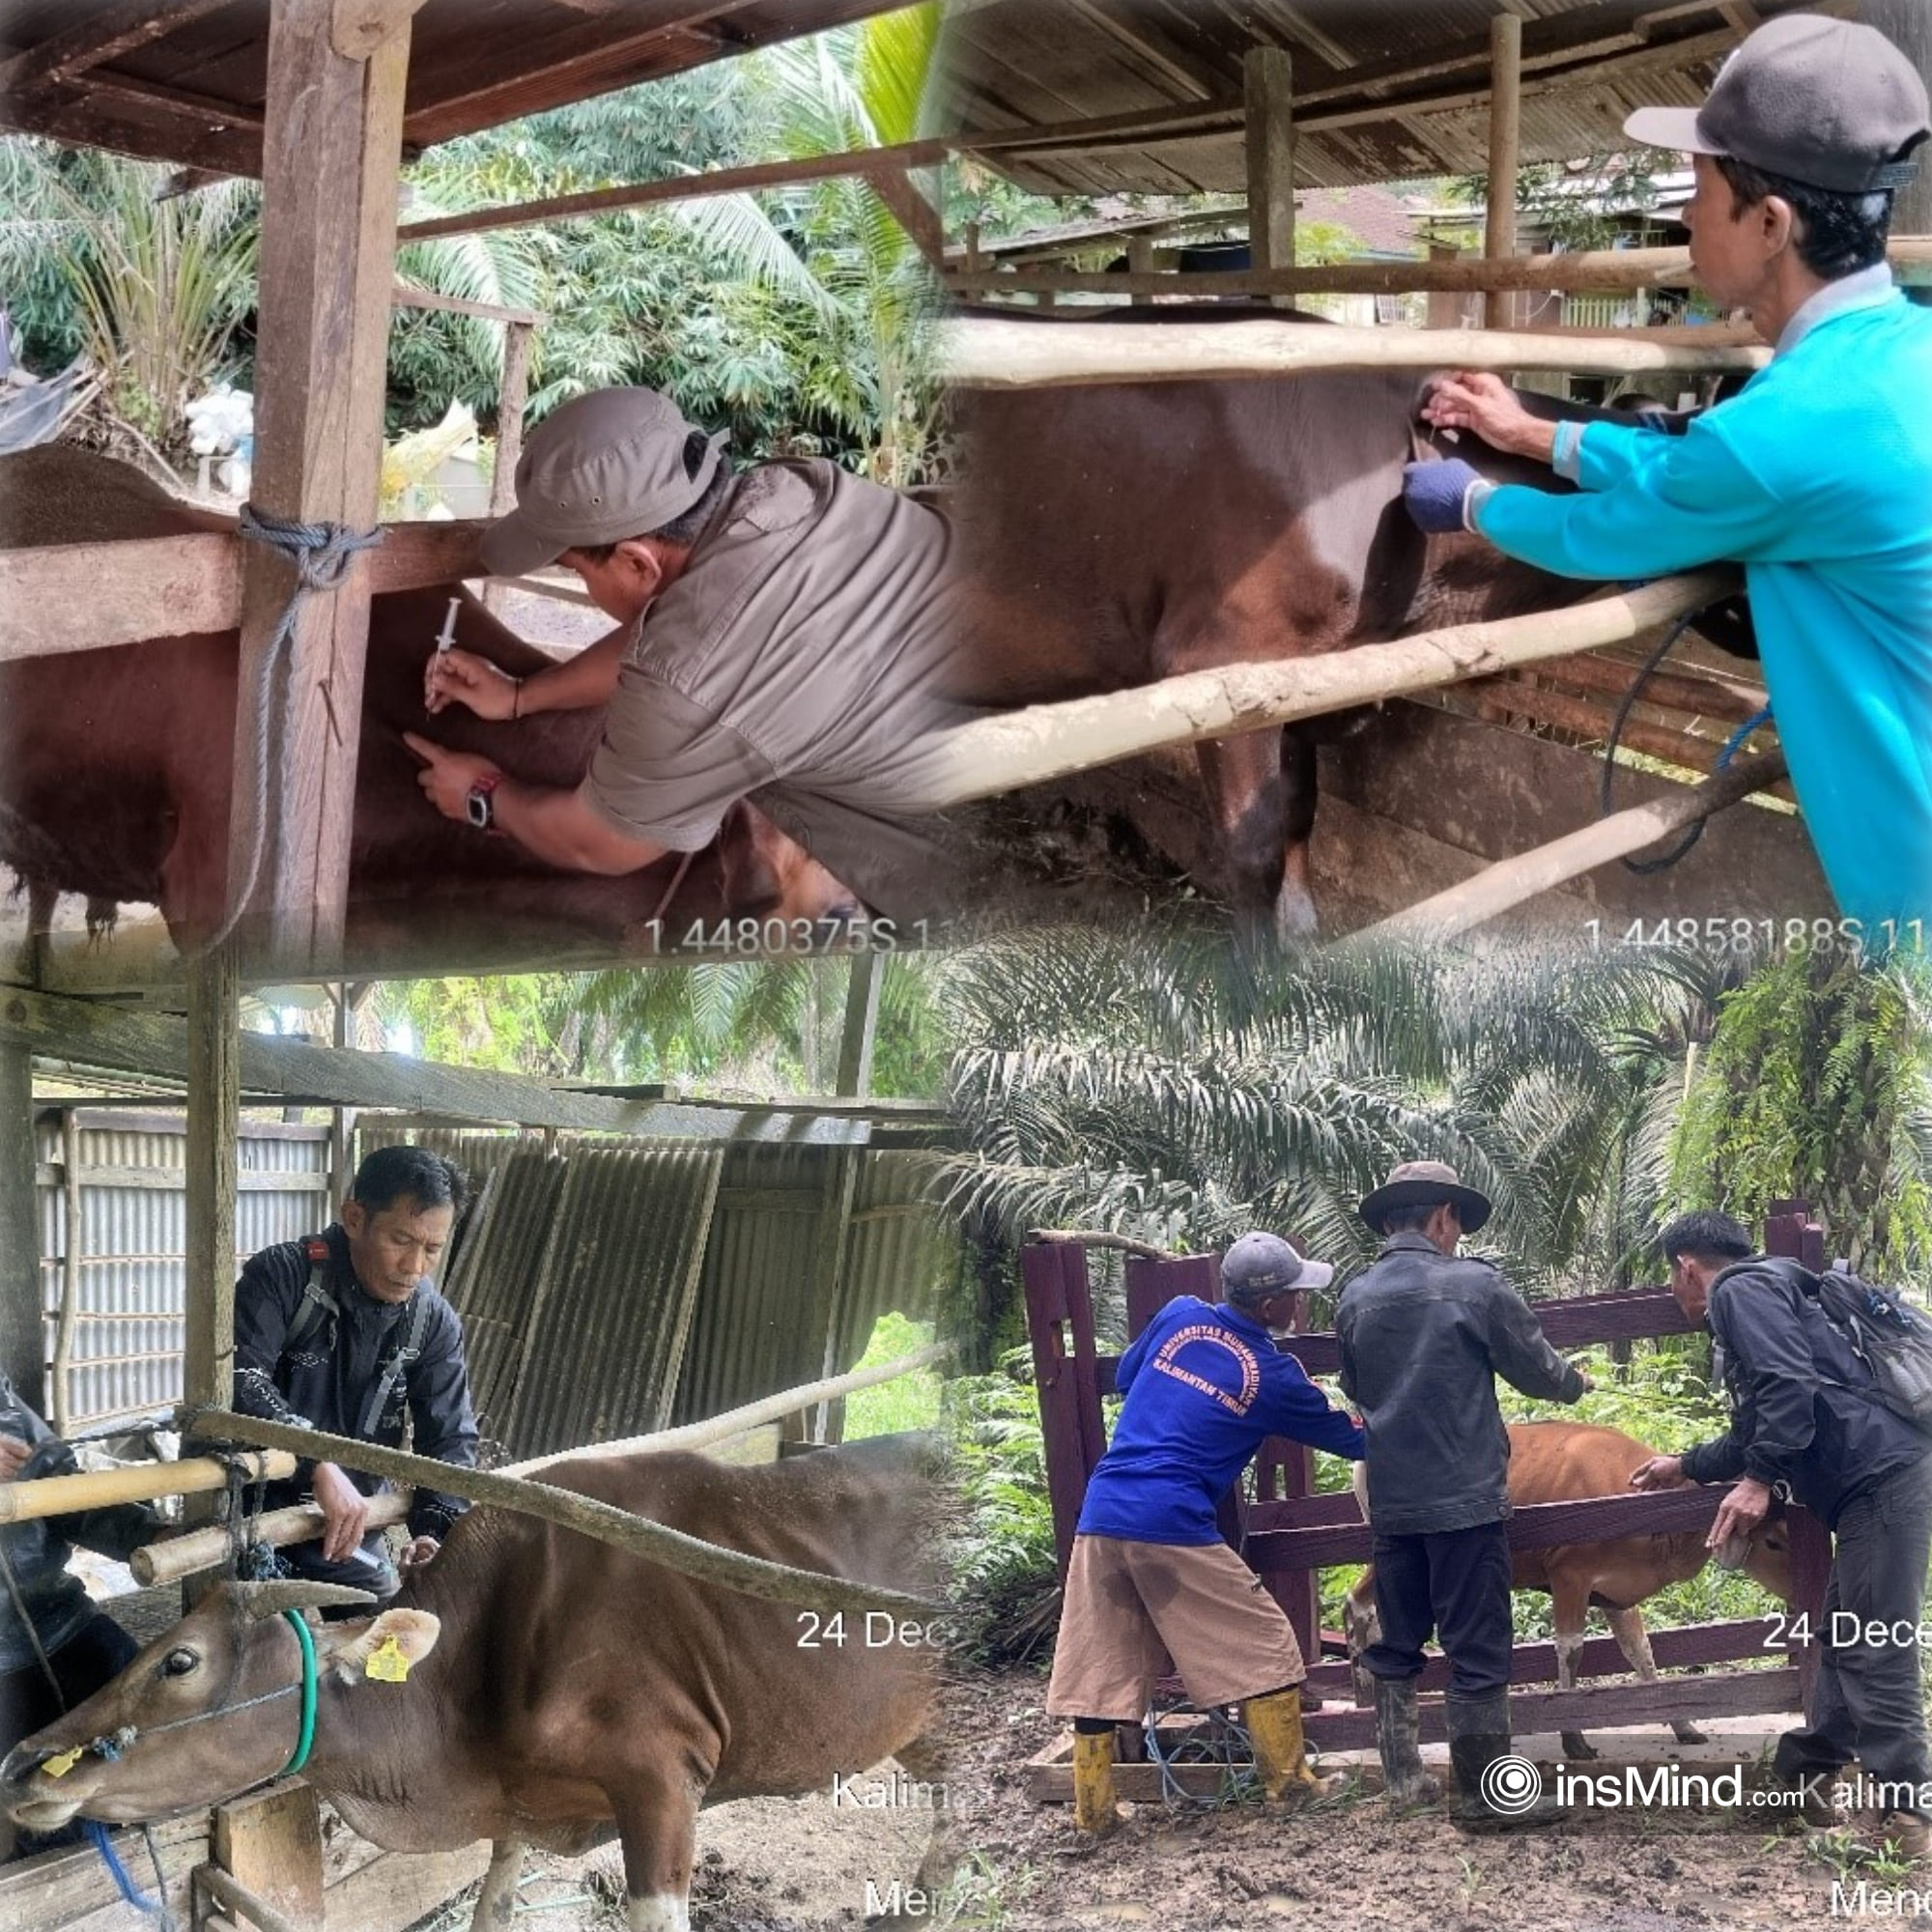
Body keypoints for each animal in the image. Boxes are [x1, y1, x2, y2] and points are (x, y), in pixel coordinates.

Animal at [1345, 1414, 1793, 1762]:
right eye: (1773, 1541)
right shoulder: (1569, 1576)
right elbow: (1571, 1650)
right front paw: (1573, 1736)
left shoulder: (1617, 1593)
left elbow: (1641, 1651)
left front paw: (1683, 1724)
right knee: (1357, 1604)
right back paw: (1367, 1697)